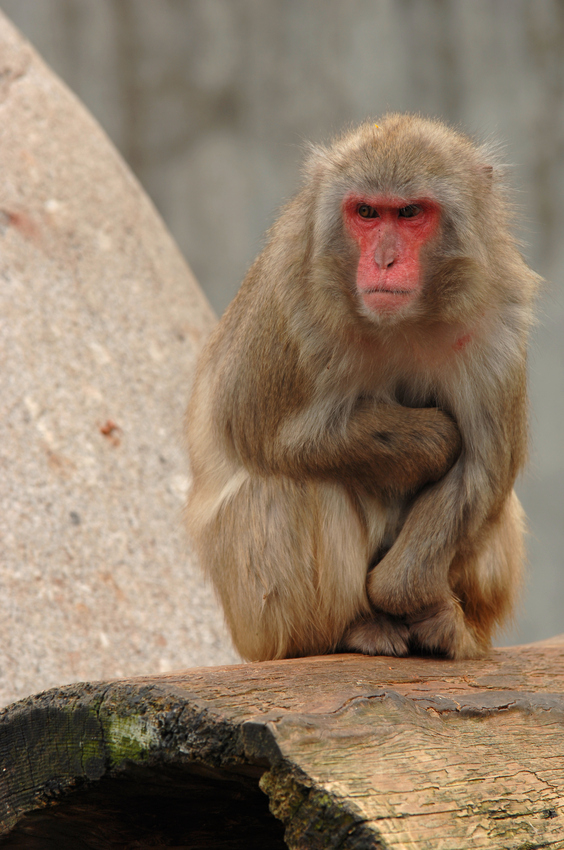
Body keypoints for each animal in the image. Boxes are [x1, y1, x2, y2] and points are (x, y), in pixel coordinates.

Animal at [185, 112, 536, 660]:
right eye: (366, 212)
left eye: (410, 212)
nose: (384, 261)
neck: (405, 322)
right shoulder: (292, 298)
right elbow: (261, 433)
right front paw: (430, 441)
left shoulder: (496, 319)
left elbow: (483, 471)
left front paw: (406, 595)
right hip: (257, 621)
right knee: (300, 482)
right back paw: (353, 629)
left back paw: (451, 624)